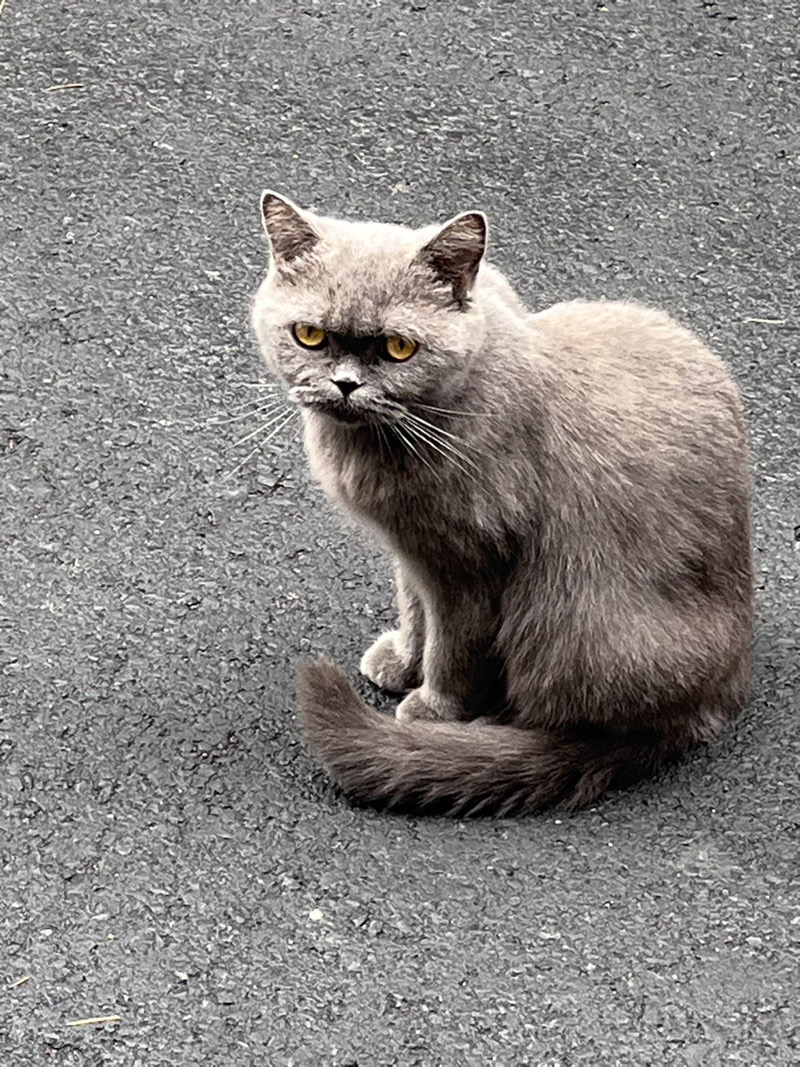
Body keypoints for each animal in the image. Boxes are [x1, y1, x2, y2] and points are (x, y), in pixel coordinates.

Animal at [253, 192, 755, 815]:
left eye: (398, 348)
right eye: (309, 336)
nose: (345, 384)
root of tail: (727, 688)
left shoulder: (469, 564)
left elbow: (454, 646)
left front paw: (433, 710)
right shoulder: (414, 548)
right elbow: (413, 608)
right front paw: (400, 662)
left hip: (572, 625)